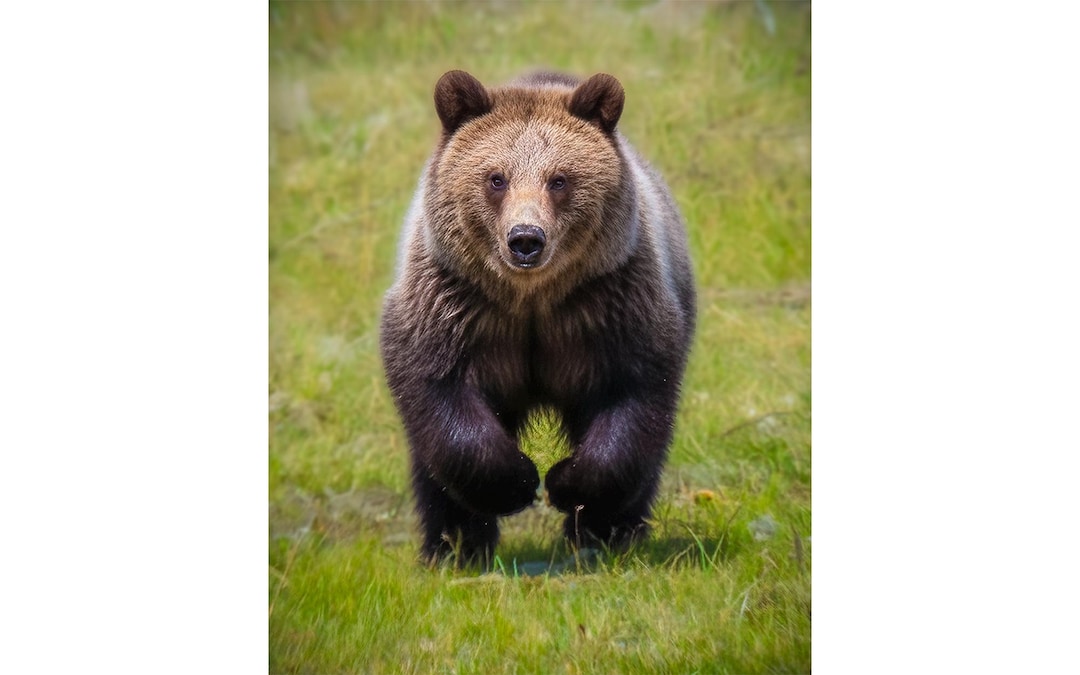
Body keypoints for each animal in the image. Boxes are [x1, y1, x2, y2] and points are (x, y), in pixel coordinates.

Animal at [380, 70, 696, 566]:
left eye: (559, 179)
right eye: (496, 178)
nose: (526, 239)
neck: (532, 299)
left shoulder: (611, 307)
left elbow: (633, 397)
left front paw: (568, 486)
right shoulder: (455, 307)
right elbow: (442, 398)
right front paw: (518, 481)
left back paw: (610, 536)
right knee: (432, 474)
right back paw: (453, 547)